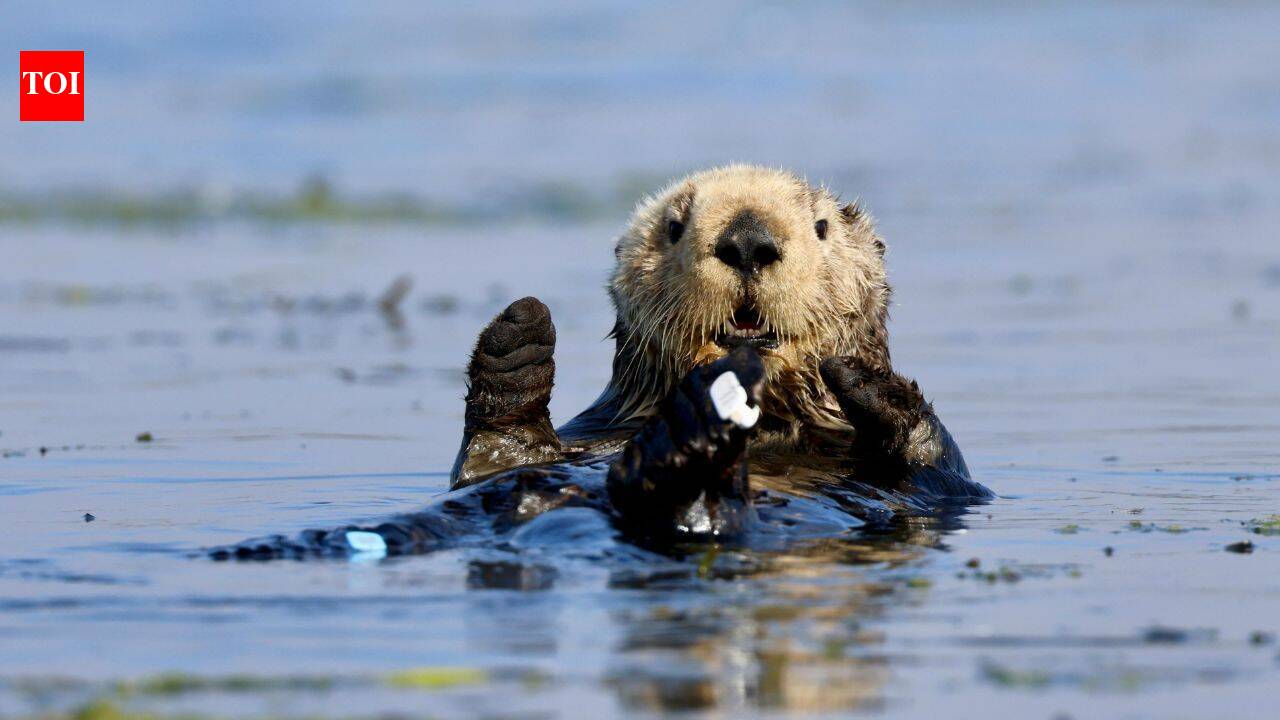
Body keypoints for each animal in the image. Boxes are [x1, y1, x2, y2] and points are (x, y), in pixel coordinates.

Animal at [213, 165, 989, 560]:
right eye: (675, 226)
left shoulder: (941, 488)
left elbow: (936, 467)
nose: (747, 240)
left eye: (821, 227)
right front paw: (518, 338)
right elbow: (492, 458)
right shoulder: (592, 433)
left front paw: (868, 380)